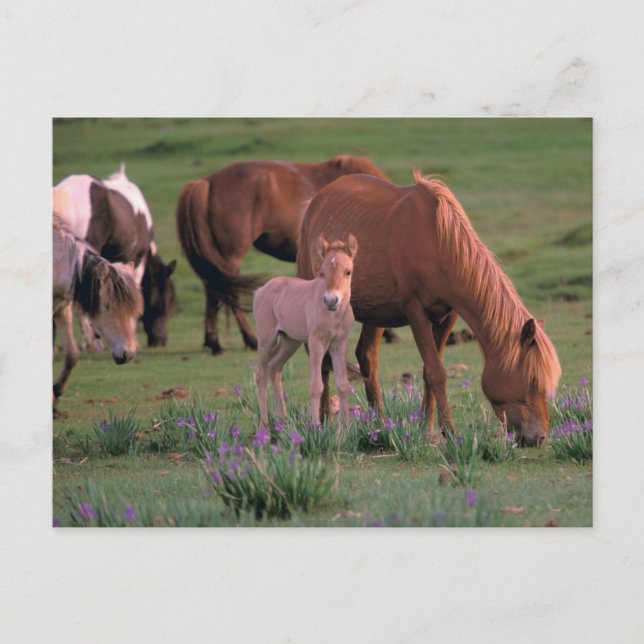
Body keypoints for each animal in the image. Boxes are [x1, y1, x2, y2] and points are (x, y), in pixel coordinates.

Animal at [176, 155, 396, 355]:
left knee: (213, 290)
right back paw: (246, 339)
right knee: (226, 293)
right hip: (230, 258)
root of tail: (207, 182)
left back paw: (214, 341)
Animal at [254, 234, 357, 431]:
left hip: (289, 341)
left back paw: (284, 422)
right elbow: (316, 385)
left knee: (274, 368)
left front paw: (346, 431)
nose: (331, 300)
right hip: (266, 338)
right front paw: (317, 428)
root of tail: (261, 290)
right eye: (322, 273)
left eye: (348, 272)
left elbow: (343, 384)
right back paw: (264, 425)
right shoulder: (316, 342)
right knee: (261, 374)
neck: (334, 314)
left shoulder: (340, 344)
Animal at [296, 172, 561, 446]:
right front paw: (449, 431)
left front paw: (426, 426)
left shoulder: (448, 315)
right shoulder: (416, 312)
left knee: (366, 357)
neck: (438, 243)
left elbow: (428, 372)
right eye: (532, 380)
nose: (539, 437)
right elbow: (437, 373)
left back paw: (379, 423)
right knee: (322, 362)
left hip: (375, 314)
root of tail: (316, 202)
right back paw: (324, 421)